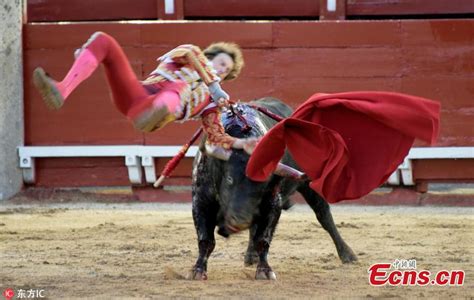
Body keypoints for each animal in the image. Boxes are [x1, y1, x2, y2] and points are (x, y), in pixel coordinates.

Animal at [189, 98, 356, 282]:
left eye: (263, 185)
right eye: (229, 179)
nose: (240, 221)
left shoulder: (273, 205)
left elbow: (263, 239)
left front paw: (265, 271)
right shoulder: (201, 201)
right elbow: (206, 240)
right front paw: (197, 271)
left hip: (309, 186)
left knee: (324, 216)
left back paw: (347, 254)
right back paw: (250, 257)